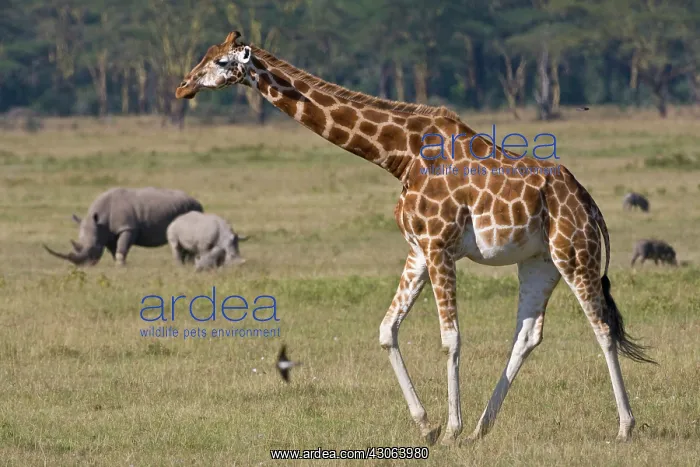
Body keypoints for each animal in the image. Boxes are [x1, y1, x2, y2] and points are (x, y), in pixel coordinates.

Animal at [175, 31, 656, 446]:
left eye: (221, 61)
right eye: (204, 55)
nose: (182, 87)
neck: (399, 154)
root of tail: (589, 203)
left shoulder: (440, 246)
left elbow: (451, 338)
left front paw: (450, 429)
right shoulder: (419, 248)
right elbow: (387, 329)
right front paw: (428, 425)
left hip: (574, 253)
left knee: (602, 328)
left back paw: (625, 427)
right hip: (539, 261)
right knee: (528, 335)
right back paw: (483, 427)